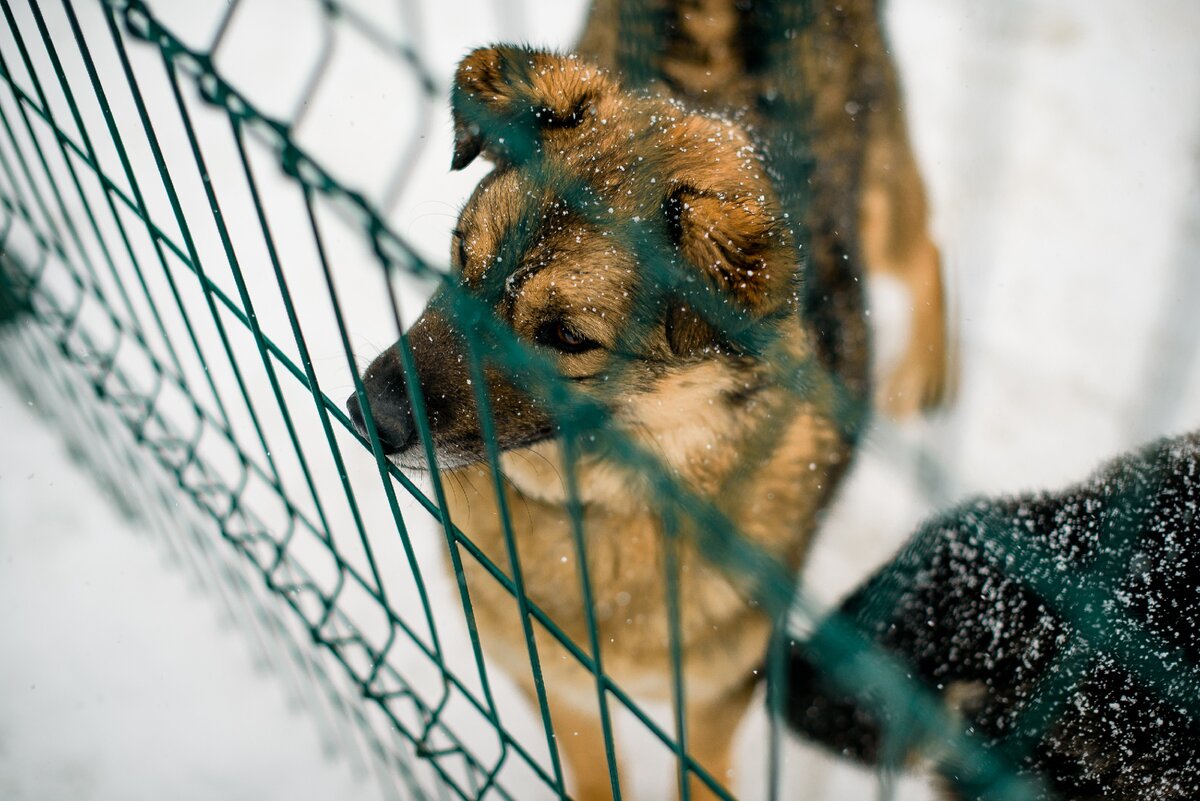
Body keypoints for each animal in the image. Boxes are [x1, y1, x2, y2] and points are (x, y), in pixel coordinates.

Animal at [348, 3, 945, 796]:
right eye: (460, 257)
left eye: (567, 336)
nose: (369, 414)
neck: (600, 510)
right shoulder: (551, 682)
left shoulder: (721, 692)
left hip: (881, 203)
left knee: (927, 246)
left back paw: (929, 374)